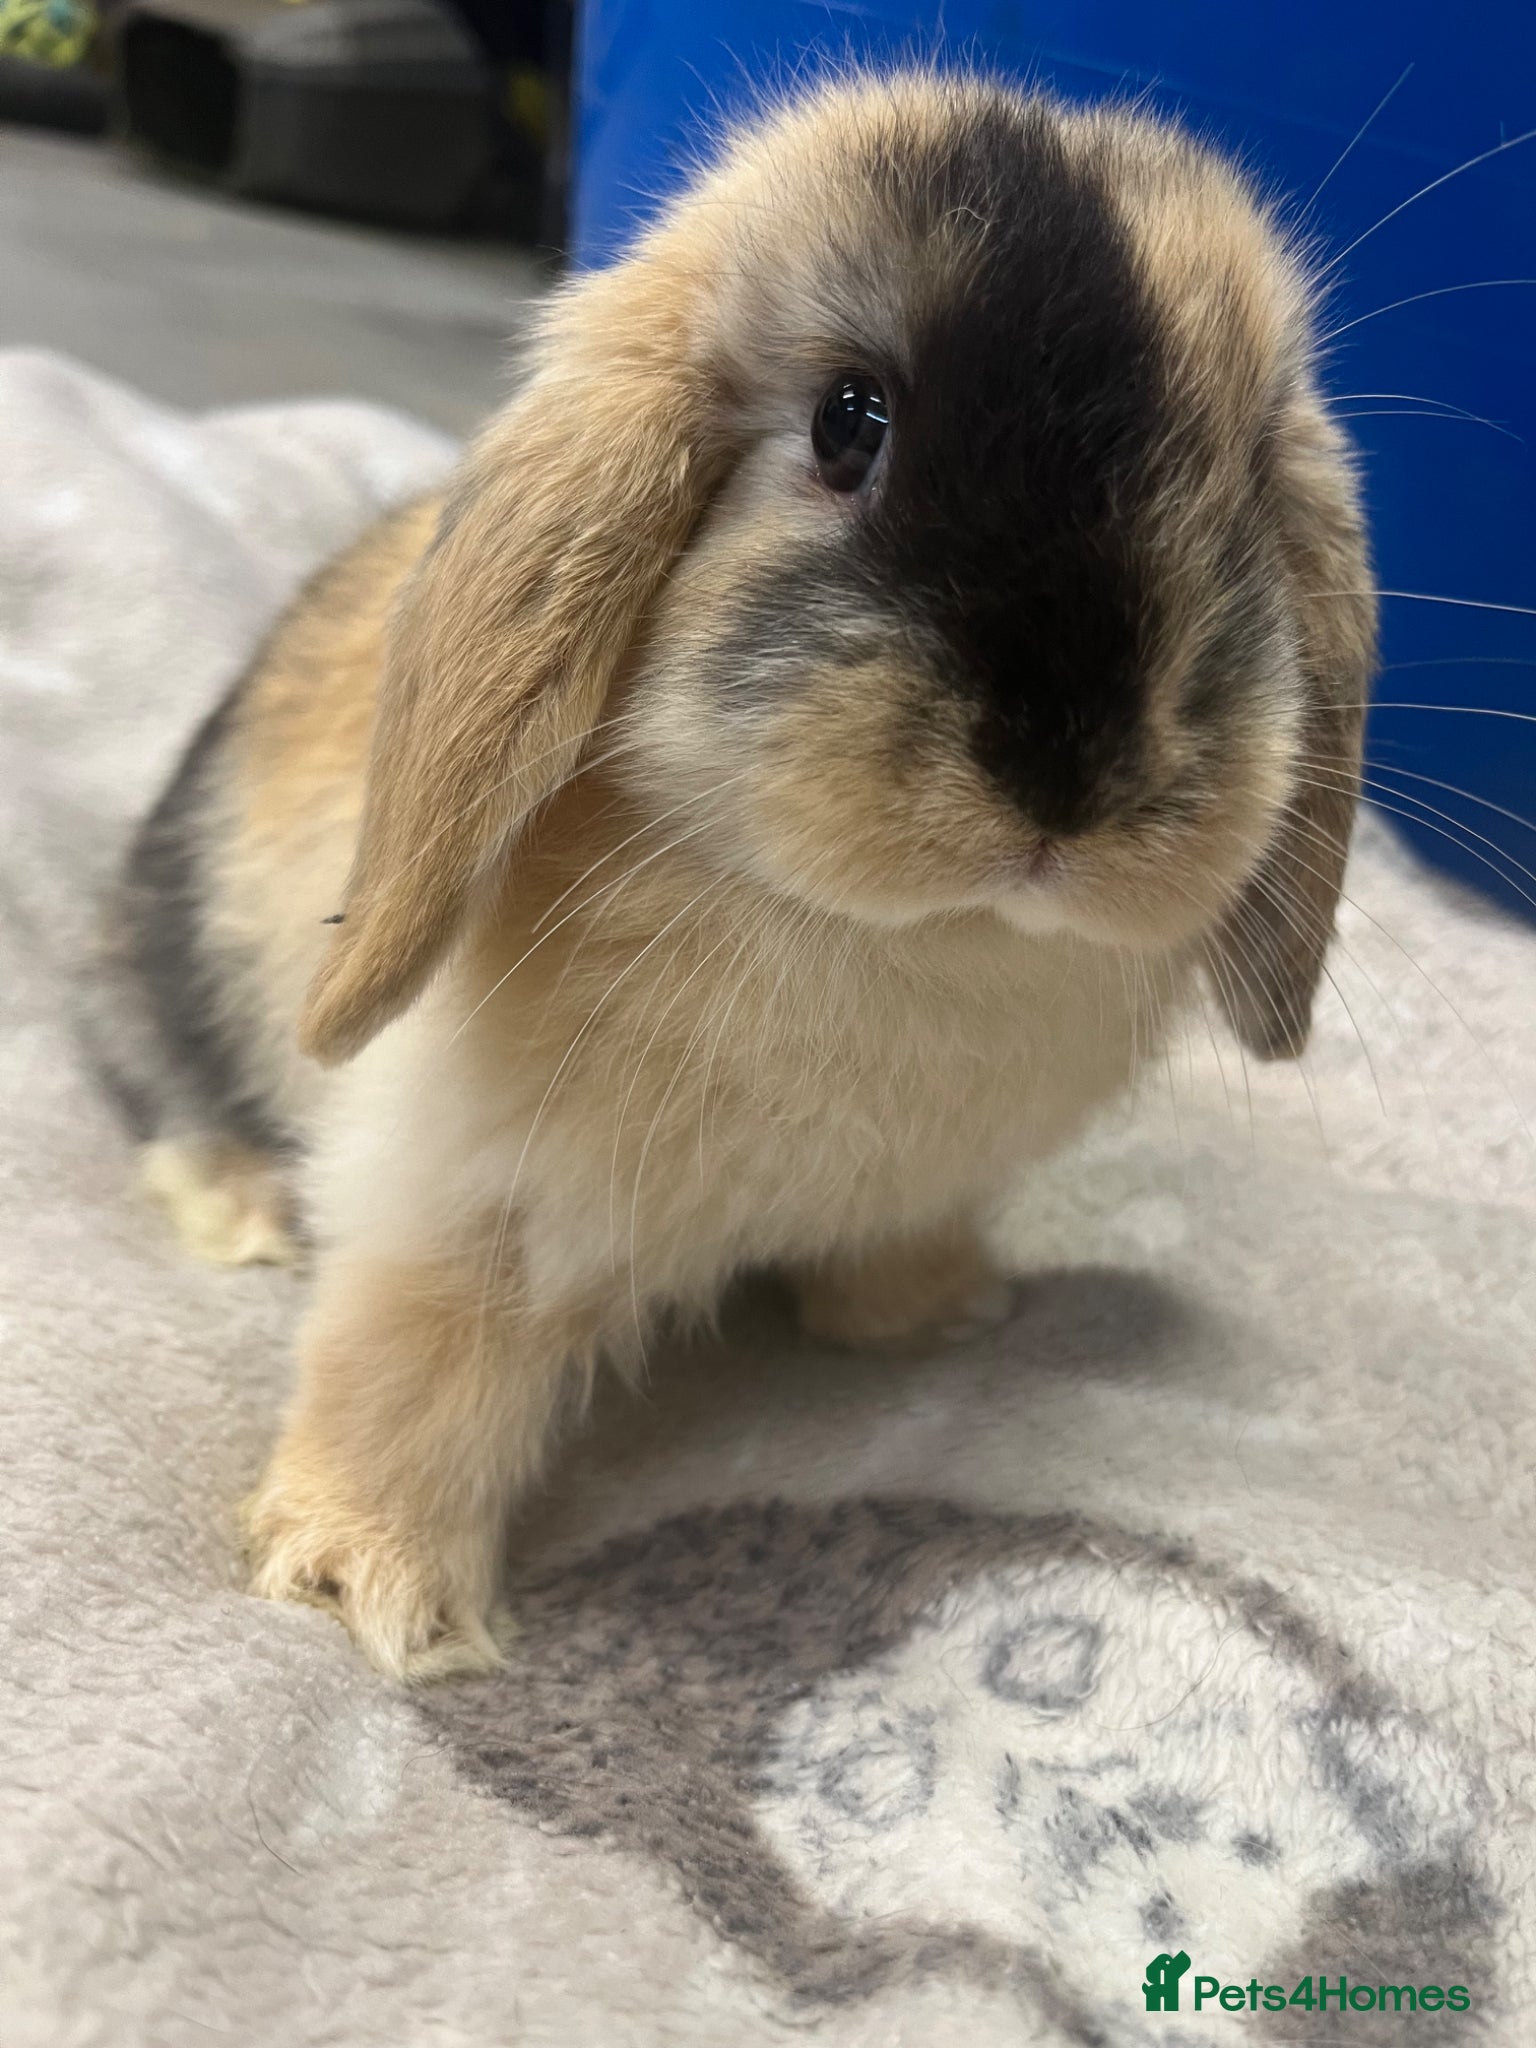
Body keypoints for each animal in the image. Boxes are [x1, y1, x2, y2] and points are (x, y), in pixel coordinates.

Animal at [116, 70, 1374, 1680]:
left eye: (1237, 474)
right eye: (849, 423)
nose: (1067, 779)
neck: (907, 938)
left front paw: (936, 1315)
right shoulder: (458, 1196)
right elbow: (412, 1365)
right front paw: (374, 1592)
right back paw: (250, 1216)